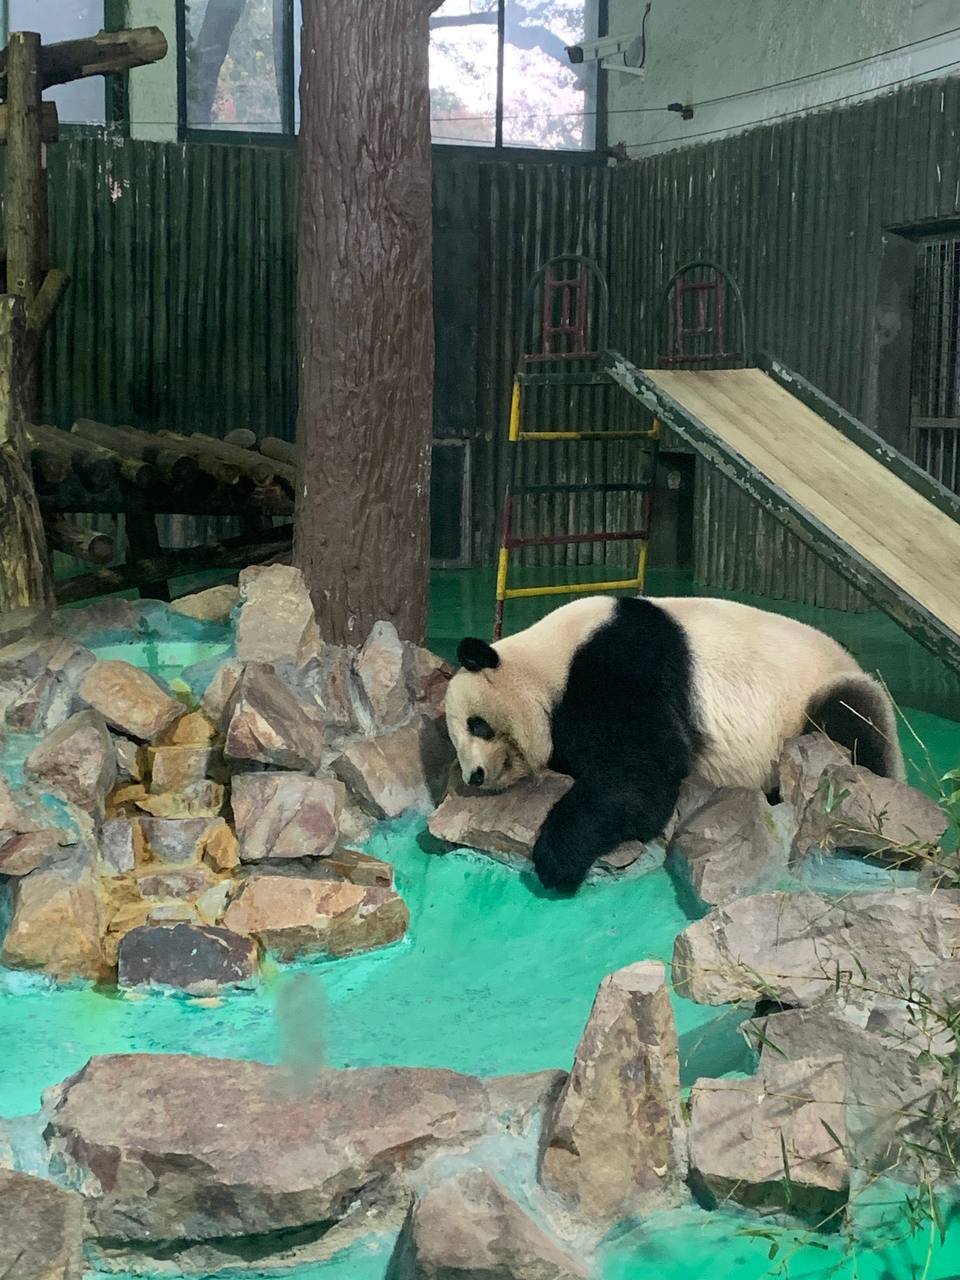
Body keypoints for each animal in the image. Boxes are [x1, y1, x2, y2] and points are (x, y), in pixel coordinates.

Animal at [444, 594, 904, 893]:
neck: (547, 661)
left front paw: (558, 859)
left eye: (478, 725)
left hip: (817, 694)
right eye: (457, 738)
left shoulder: (617, 667)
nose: (475, 776)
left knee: (854, 717)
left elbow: (642, 769)